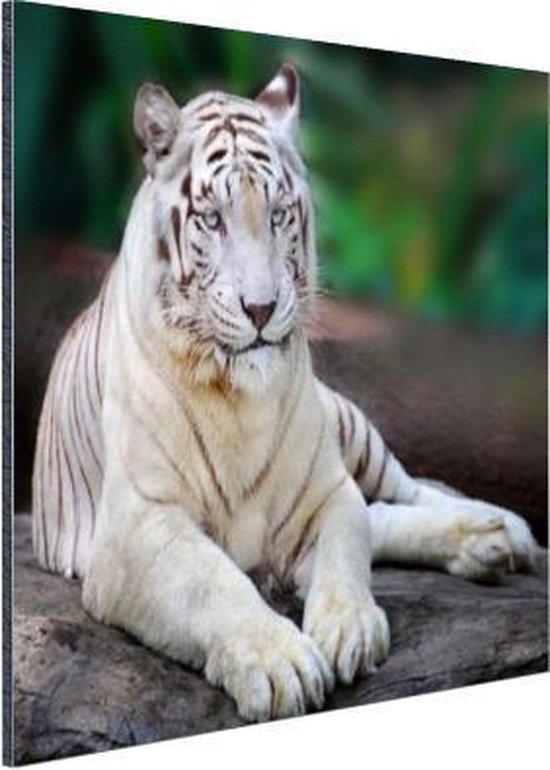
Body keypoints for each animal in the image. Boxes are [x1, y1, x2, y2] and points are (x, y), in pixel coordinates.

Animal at [32, 64, 538, 722]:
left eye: (277, 215)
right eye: (213, 220)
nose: (261, 308)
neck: (234, 397)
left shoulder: (326, 493)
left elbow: (348, 553)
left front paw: (351, 629)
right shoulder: (137, 526)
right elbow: (215, 582)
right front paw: (280, 664)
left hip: (349, 424)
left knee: (405, 492)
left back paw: (498, 531)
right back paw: (485, 546)